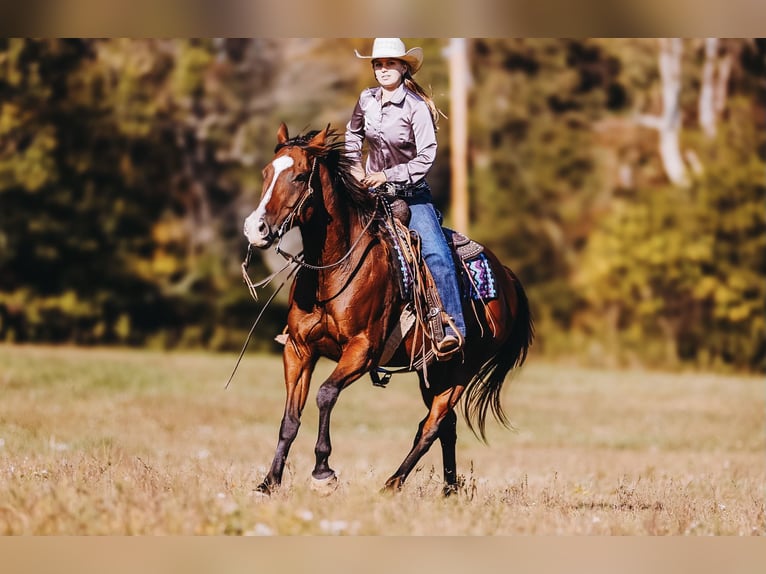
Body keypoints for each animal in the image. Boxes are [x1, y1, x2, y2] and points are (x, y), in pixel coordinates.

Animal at [242, 123, 533, 495]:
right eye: (266, 173)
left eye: (299, 176)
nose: (256, 228)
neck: (335, 268)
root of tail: (506, 277)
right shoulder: (298, 349)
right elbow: (290, 419)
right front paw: (269, 482)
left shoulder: (362, 351)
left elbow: (325, 394)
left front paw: (323, 471)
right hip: (434, 371)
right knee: (447, 426)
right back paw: (448, 490)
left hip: (461, 371)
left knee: (432, 425)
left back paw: (392, 484)